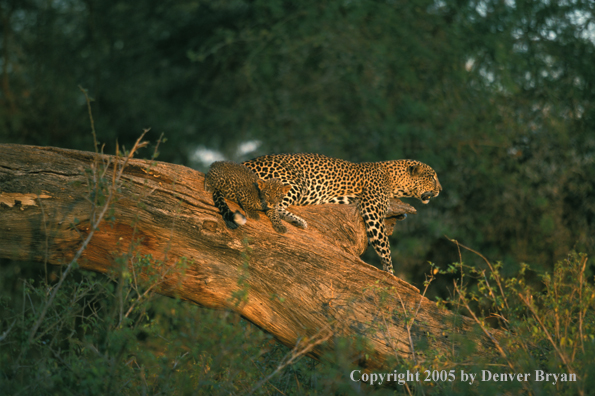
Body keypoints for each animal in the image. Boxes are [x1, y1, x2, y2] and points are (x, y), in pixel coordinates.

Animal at [242, 153, 442, 274]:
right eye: (432, 177)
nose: (440, 190)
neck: (394, 180)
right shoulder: (373, 212)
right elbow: (384, 245)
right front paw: (391, 274)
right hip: (293, 181)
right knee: (271, 207)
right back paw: (298, 221)